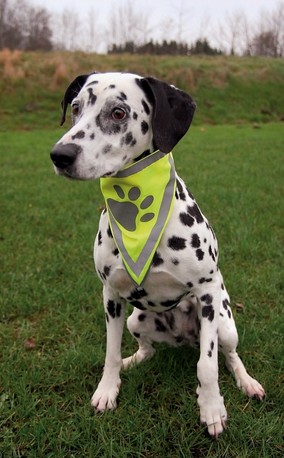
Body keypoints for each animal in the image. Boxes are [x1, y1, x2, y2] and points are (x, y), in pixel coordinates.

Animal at [50, 70, 266, 436]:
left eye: (118, 112)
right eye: (76, 107)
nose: (60, 155)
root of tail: (182, 338)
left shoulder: (207, 293)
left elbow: (207, 366)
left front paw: (211, 408)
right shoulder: (110, 296)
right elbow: (110, 352)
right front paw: (107, 389)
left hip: (225, 323)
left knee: (229, 355)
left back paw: (246, 382)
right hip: (136, 319)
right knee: (147, 348)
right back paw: (134, 360)